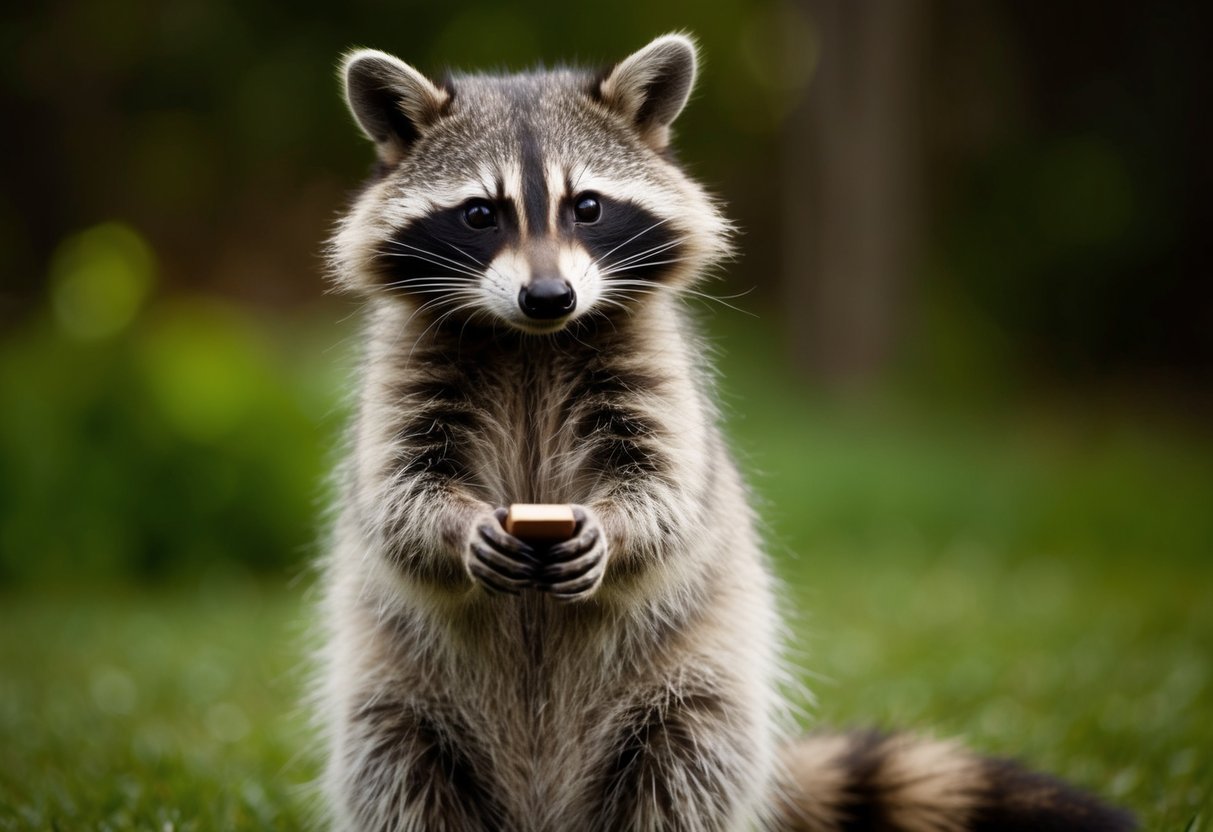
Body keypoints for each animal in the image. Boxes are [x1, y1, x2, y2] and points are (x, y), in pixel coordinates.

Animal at [318, 34, 1135, 832]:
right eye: (481, 214)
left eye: (587, 206)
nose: (549, 296)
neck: (529, 342)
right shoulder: (403, 373)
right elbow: (396, 493)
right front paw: (456, 529)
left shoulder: (655, 368)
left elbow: (668, 486)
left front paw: (618, 529)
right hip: (395, 700)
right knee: (398, 773)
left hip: (697, 690)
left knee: (684, 773)